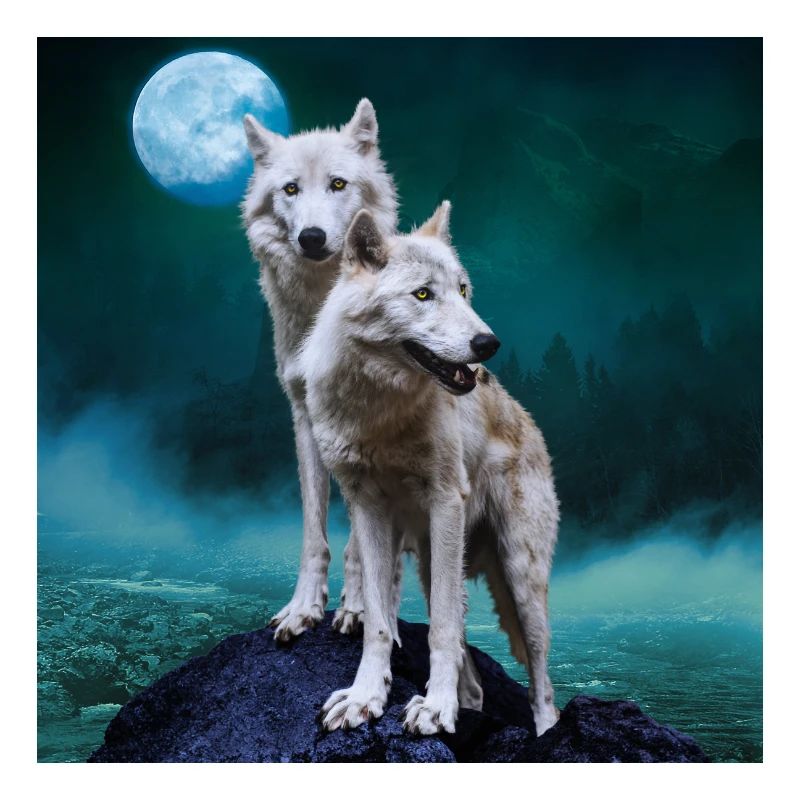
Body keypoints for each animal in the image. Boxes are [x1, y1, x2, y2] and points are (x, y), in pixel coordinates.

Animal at [242, 100, 398, 641]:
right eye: (290, 189)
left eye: (337, 184)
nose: (311, 238)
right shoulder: (305, 417)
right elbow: (314, 528)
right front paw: (303, 608)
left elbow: (362, 539)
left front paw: (358, 607)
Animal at [301, 202, 560, 736]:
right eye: (423, 294)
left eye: (462, 290)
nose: (488, 343)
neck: (380, 413)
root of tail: (530, 422)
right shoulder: (367, 508)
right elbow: (379, 622)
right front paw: (365, 697)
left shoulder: (445, 502)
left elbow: (439, 628)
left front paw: (436, 708)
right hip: (431, 559)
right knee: (473, 673)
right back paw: (467, 705)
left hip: (520, 579)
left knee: (542, 686)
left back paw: (543, 733)